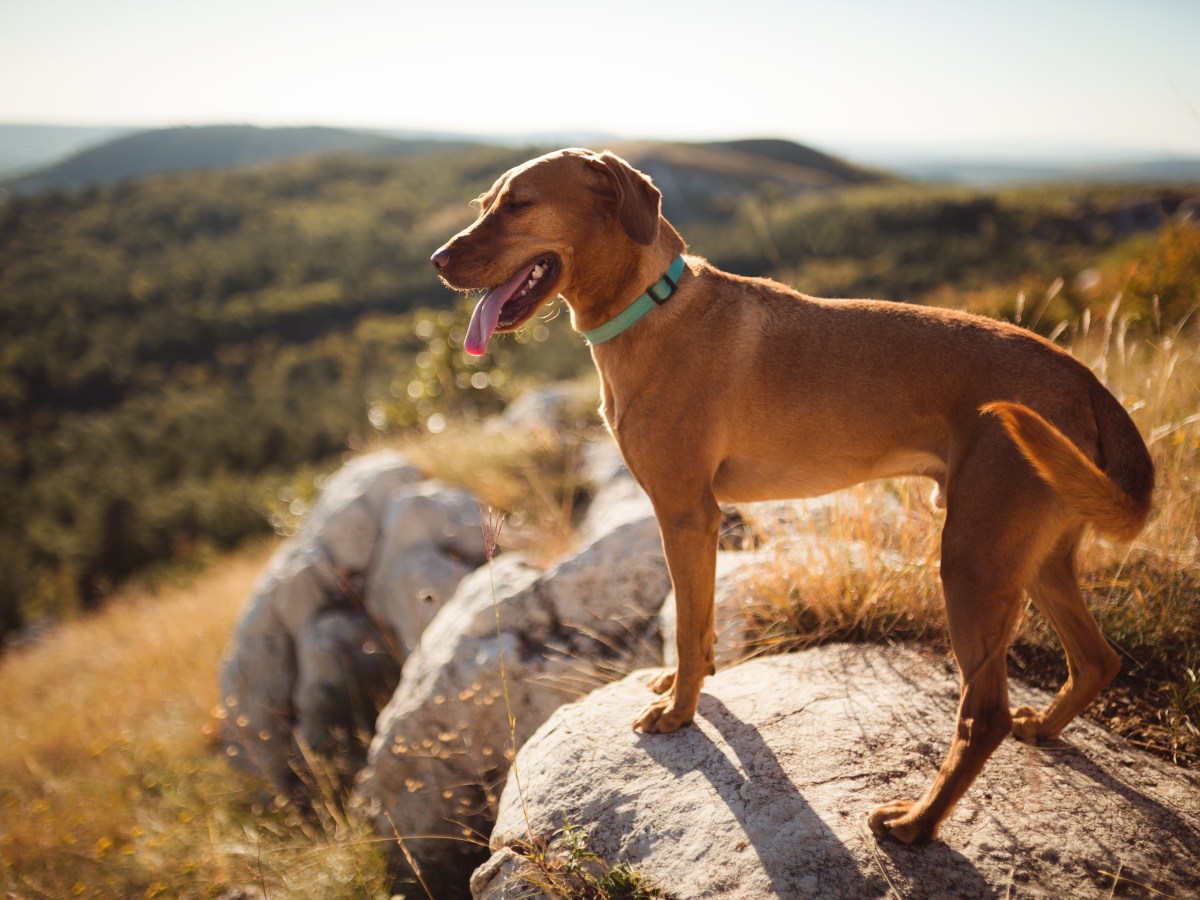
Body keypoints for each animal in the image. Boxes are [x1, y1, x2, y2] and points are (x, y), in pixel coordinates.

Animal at [432, 148, 1152, 844]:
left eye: (520, 205)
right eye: (485, 203)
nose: (437, 261)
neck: (650, 305)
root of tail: (1086, 378)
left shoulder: (685, 514)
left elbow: (688, 630)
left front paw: (679, 712)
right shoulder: (700, 522)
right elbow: (697, 625)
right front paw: (684, 687)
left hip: (973, 560)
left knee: (986, 717)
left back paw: (917, 824)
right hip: (1037, 555)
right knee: (1097, 660)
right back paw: (1045, 728)